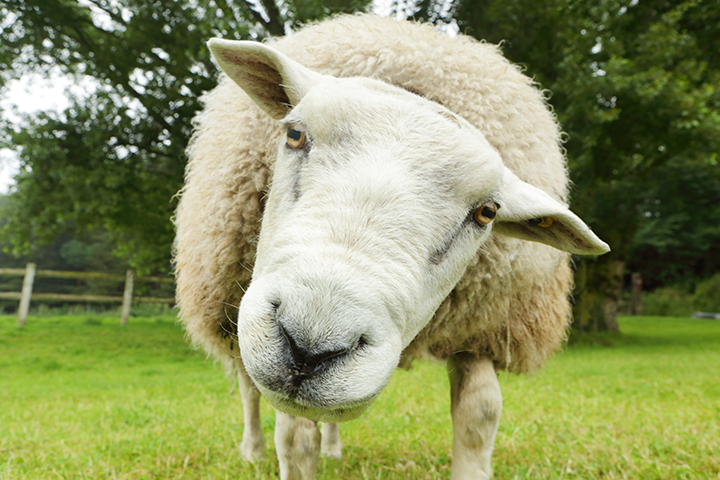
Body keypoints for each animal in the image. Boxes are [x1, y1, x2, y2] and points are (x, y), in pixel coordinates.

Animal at [174, 13, 608, 478]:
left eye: (487, 212)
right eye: (294, 134)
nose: (309, 347)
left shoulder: (482, 329)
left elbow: (479, 414)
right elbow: (293, 438)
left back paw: (333, 447)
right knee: (247, 386)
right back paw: (253, 449)